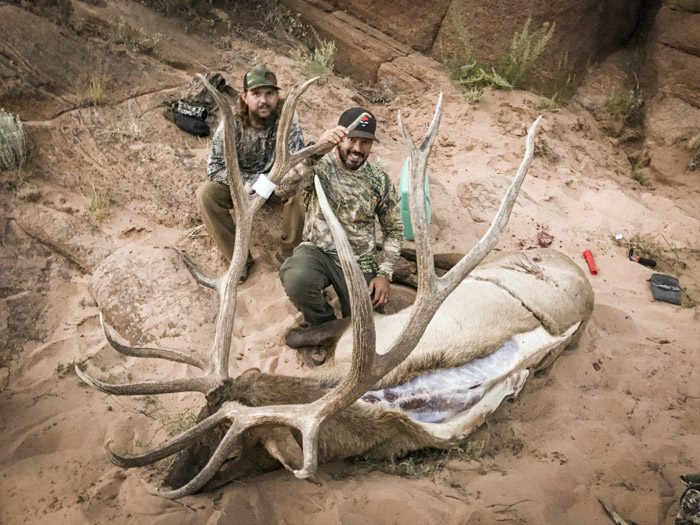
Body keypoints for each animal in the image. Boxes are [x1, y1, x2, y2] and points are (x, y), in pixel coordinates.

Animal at [76, 75, 594, 498]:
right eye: (201, 415)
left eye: (231, 453)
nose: (168, 483)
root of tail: (577, 269)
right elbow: (298, 331)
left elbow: (298, 333)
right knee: (431, 255)